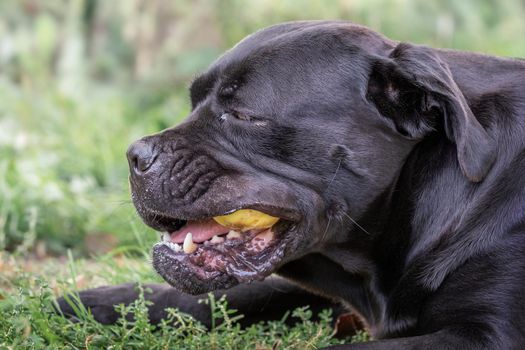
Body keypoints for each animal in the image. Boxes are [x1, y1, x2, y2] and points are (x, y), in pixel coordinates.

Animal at [59, 20, 524, 348]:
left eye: (244, 115)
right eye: (192, 102)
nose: (135, 155)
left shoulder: (486, 333)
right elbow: (230, 295)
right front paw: (103, 301)